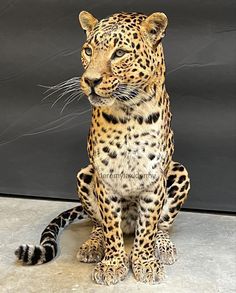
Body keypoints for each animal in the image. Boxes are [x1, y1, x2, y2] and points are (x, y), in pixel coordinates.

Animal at [15, 10, 190, 284]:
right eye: (88, 51)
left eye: (119, 53)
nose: (90, 80)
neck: (129, 112)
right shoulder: (104, 178)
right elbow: (110, 227)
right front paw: (112, 264)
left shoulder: (154, 180)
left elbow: (148, 226)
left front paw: (144, 262)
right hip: (84, 174)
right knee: (99, 224)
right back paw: (92, 245)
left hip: (179, 171)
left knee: (161, 225)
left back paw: (162, 246)